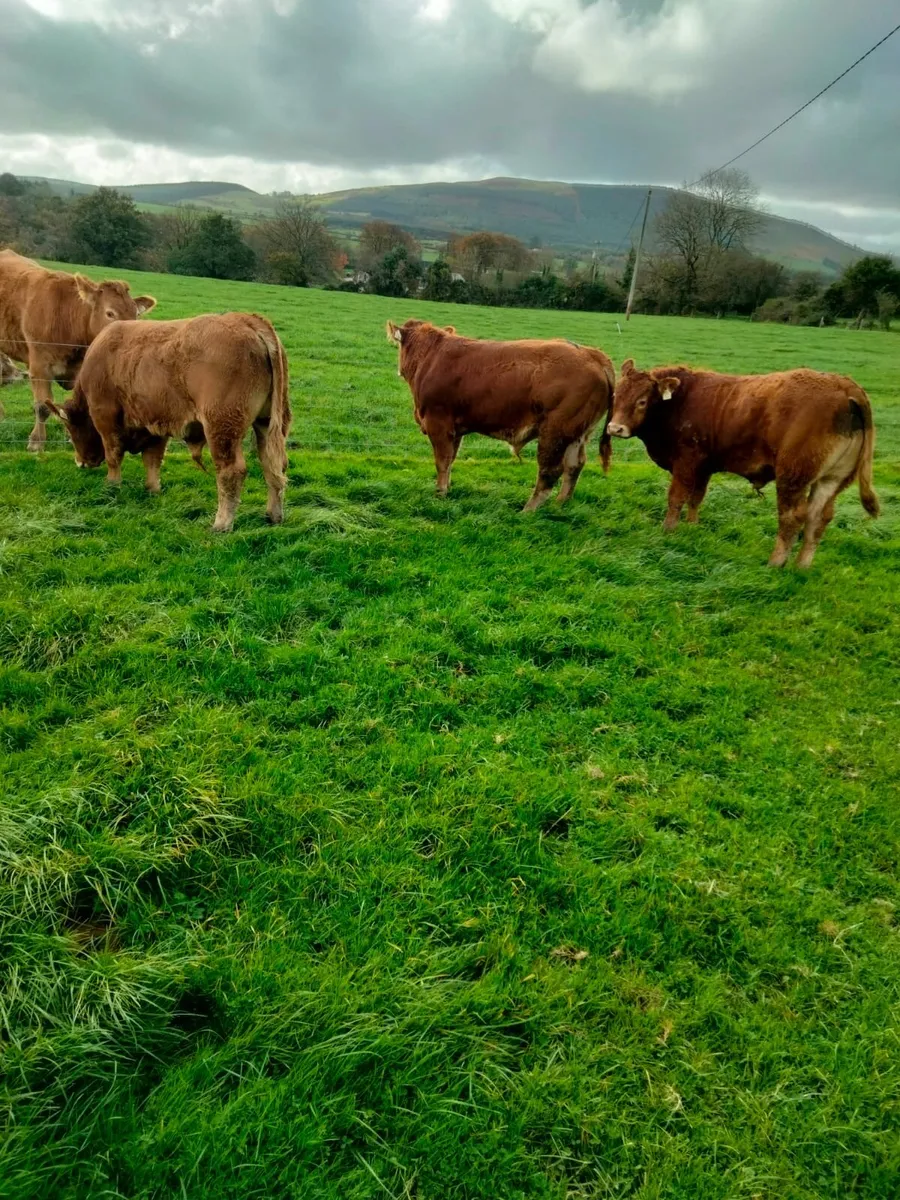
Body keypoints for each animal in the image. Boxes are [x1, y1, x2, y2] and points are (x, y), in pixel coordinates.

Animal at [46, 312, 291, 533]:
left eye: (70, 430)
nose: (80, 462)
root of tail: (247, 320)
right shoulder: (156, 422)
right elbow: (152, 459)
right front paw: (152, 489)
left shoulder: (104, 416)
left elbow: (113, 454)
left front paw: (112, 485)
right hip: (267, 423)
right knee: (273, 465)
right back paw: (273, 516)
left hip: (222, 428)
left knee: (231, 472)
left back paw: (221, 524)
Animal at [386, 319, 615, 510]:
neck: (430, 358)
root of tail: (591, 354)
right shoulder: (455, 429)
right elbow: (451, 459)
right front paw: (447, 488)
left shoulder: (438, 424)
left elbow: (442, 461)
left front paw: (440, 493)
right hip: (577, 434)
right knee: (574, 466)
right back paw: (560, 504)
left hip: (556, 431)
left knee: (550, 471)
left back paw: (528, 510)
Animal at [607, 359, 879, 568]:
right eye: (616, 395)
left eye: (642, 401)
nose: (614, 428)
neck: (680, 400)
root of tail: (845, 386)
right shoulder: (704, 466)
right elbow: (696, 498)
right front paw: (692, 526)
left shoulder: (686, 461)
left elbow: (676, 498)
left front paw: (668, 530)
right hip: (830, 481)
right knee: (817, 519)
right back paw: (801, 566)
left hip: (792, 477)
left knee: (792, 517)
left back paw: (775, 563)